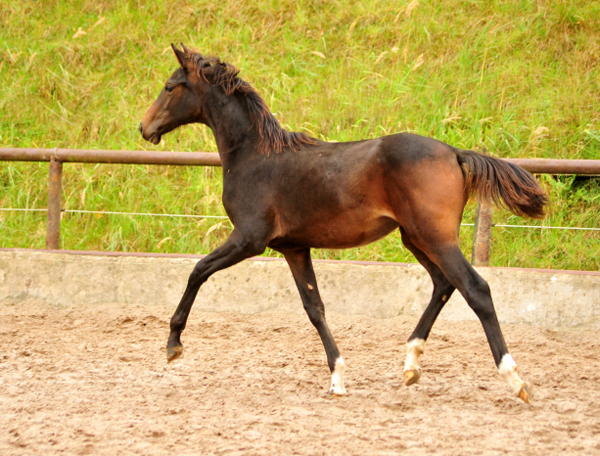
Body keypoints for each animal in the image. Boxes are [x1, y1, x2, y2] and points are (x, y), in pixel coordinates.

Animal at [141, 44, 548, 402]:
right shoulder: (293, 247)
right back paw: (411, 365)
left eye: (170, 86)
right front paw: (337, 378)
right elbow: (314, 308)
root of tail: (455, 153)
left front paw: (173, 344)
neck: (254, 155)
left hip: (435, 238)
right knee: (443, 284)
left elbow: (198, 270)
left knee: (475, 289)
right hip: (415, 238)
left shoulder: (248, 239)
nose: (144, 127)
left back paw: (515, 380)